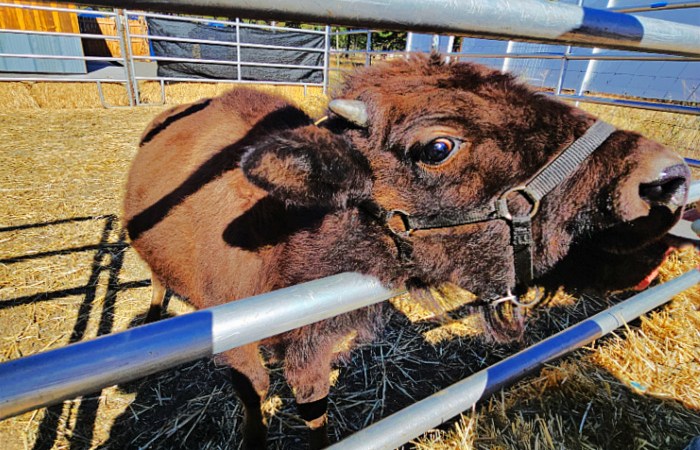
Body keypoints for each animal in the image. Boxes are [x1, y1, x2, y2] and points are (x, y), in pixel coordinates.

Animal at [123, 54, 690, 448]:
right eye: (438, 147)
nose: (667, 179)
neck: (286, 227)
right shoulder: (237, 343)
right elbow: (255, 393)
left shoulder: (312, 344)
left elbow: (312, 403)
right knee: (157, 278)